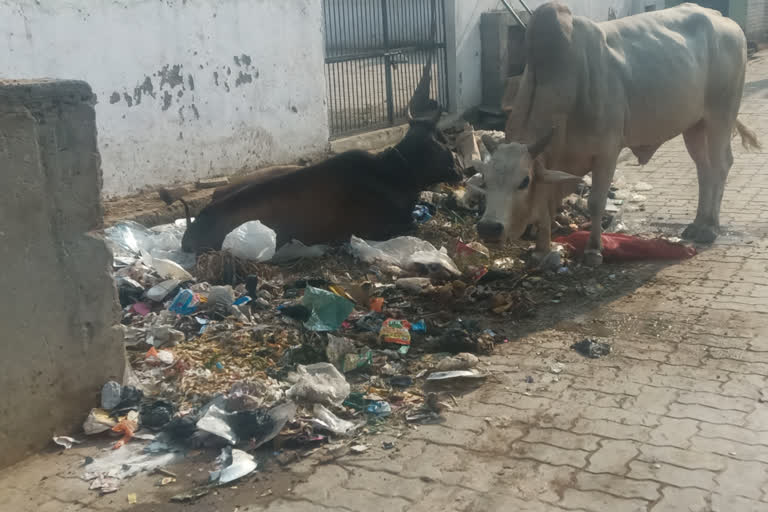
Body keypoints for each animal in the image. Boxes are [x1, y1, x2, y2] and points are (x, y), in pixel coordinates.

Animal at [476, 4, 760, 266]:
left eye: (523, 181)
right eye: (485, 180)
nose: (488, 228)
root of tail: (722, 18)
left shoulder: (607, 151)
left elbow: (596, 202)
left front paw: (593, 251)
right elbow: (545, 206)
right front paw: (541, 250)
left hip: (721, 115)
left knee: (721, 165)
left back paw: (710, 227)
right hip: (694, 126)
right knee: (704, 169)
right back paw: (698, 222)